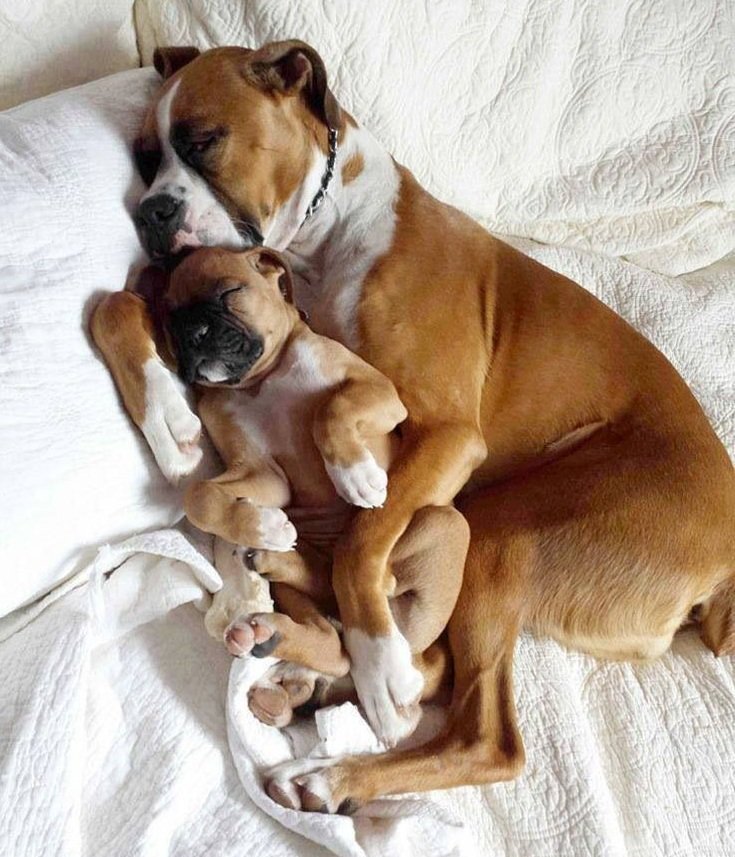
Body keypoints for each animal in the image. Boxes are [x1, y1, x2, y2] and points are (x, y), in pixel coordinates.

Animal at [165, 246, 468, 736]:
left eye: (229, 292)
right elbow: (198, 496)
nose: (193, 333)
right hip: (303, 597)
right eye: (169, 320)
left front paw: (355, 473)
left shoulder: (377, 391)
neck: (263, 381)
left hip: (446, 523)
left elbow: (330, 409)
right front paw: (261, 524)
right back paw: (268, 609)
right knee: (333, 640)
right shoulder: (260, 473)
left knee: (373, 603)